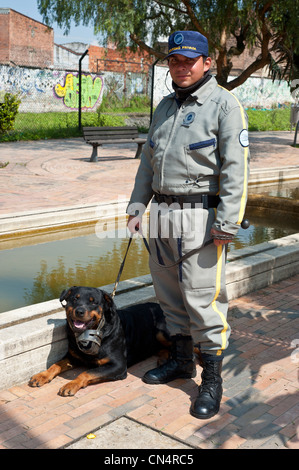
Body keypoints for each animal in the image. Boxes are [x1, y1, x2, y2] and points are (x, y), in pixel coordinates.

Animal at [30, 286, 172, 396]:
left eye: (93, 302)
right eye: (75, 299)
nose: (79, 311)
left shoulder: (118, 365)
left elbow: (87, 372)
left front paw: (71, 384)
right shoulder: (73, 356)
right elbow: (56, 364)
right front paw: (42, 375)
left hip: (161, 331)